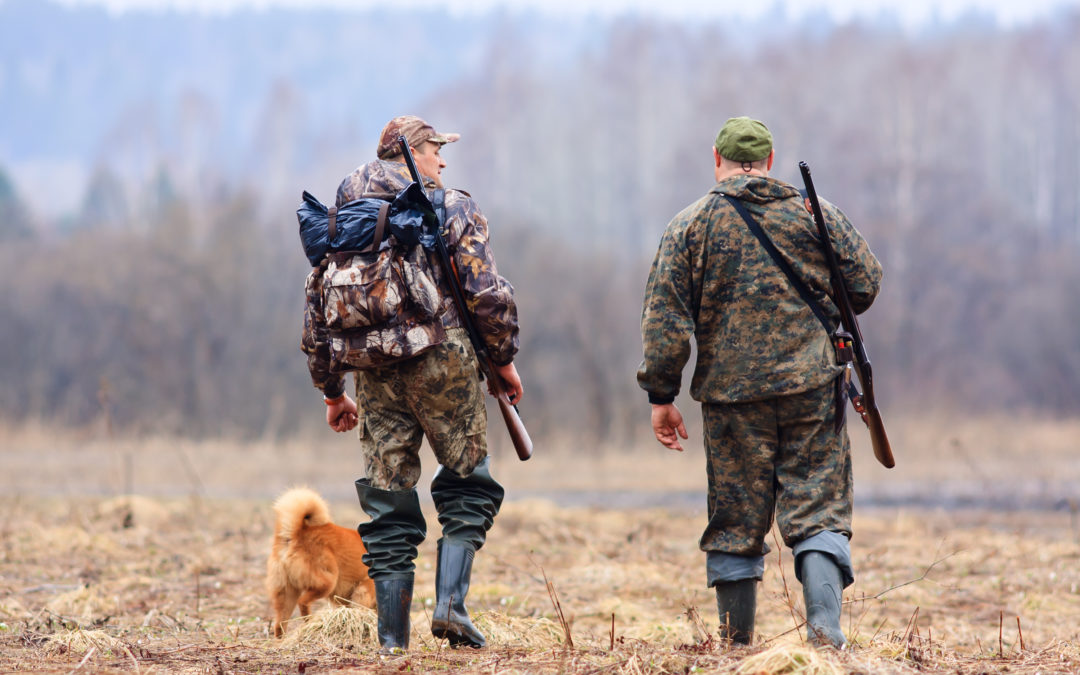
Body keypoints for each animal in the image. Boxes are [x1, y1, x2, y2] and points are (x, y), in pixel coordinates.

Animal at [265, 486, 375, 635]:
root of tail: (297, 533)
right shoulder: (363, 591)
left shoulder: (343, 600)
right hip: (327, 582)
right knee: (303, 602)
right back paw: (309, 623)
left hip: (287, 593)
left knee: (279, 625)